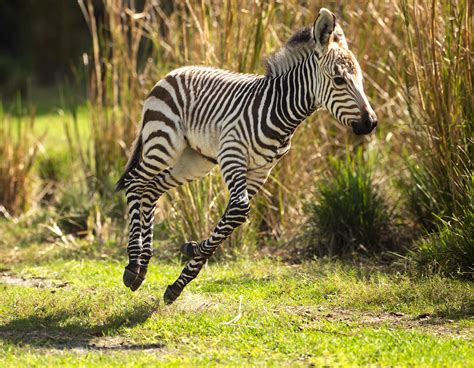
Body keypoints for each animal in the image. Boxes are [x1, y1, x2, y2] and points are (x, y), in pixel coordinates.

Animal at [115, 7, 378, 304]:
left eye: (361, 80)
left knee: (152, 188)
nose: (371, 123)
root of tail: (172, 73)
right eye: (339, 80)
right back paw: (133, 265)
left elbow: (233, 216)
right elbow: (239, 210)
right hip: (163, 142)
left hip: (194, 160)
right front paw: (187, 261)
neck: (281, 112)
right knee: (135, 183)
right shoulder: (233, 154)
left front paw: (185, 267)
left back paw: (143, 265)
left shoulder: (261, 170)